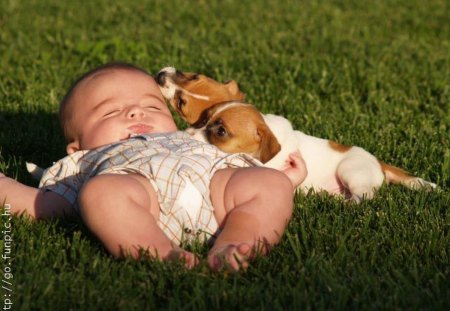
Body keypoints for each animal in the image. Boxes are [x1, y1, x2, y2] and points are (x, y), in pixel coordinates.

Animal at [156, 67, 438, 202]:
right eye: (205, 119)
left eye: (221, 131)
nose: (159, 75)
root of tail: (377, 162)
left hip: (351, 172)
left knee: (364, 197)